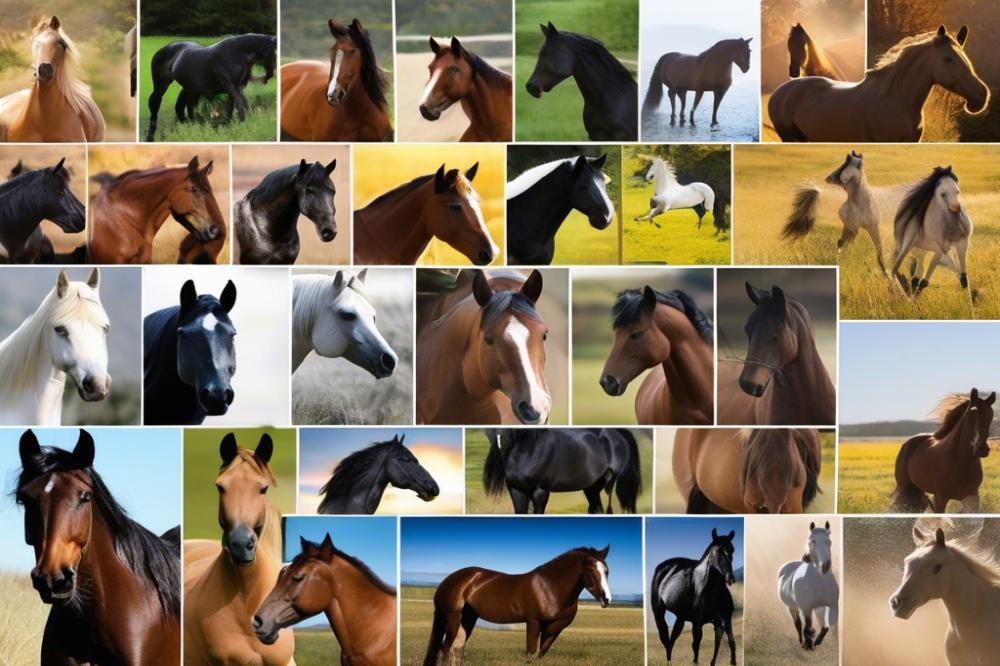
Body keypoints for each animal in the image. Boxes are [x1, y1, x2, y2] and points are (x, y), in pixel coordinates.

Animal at [145, 34, 277, 141]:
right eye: (274, 53)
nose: (269, 75)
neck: (235, 54)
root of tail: (164, 49)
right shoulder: (231, 86)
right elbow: (240, 105)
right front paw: (243, 125)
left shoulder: (237, 86)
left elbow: (236, 105)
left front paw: (231, 126)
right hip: (162, 85)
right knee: (156, 103)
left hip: (189, 88)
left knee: (184, 107)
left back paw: (191, 125)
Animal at [423, 545, 611, 665]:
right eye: (589, 571)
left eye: (606, 571)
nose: (606, 598)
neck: (549, 587)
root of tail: (448, 580)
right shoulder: (533, 622)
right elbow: (530, 654)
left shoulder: (554, 628)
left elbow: (540, 655)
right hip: (452, 616)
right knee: (445, 649)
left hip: (468, 618)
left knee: (456, 649)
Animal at [650, 528, 738, 666]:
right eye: (718, 550)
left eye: (732, 550)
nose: (731, 579)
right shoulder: (697, 621)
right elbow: (696, 645)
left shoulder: (725, 619)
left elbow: (729, 641)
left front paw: (730, 661)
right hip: (659, 611)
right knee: (664, 634)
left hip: (680, 616)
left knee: (672, 638)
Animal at [778, 521, 839, 651]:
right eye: (812, 541)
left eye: (828, 541)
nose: (825, 566)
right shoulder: (806, 607)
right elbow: (807, 627)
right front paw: (809, 644)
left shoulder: (832, 606)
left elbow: (827, 626)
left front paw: (817, 642)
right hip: (792, 607)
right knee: (798, 624)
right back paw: (802, 642)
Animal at [890, 165, 972, 297]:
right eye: (943, 194)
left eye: (957, 191)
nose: (957, 210)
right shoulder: (937, 248)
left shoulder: (950, 247)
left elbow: (962, 277)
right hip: (917, 249)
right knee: (917, 272)